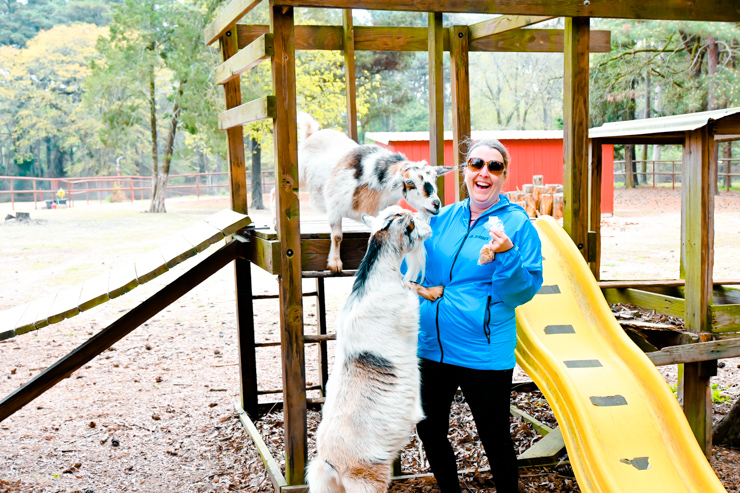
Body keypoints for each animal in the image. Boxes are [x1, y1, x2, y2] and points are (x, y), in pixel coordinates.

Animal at [306, 206, 434, 490]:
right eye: (411, 223)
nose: (430, 226)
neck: (374, 281)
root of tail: (330, 462)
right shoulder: (408, 310)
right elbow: (413, 288)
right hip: (367, 478)